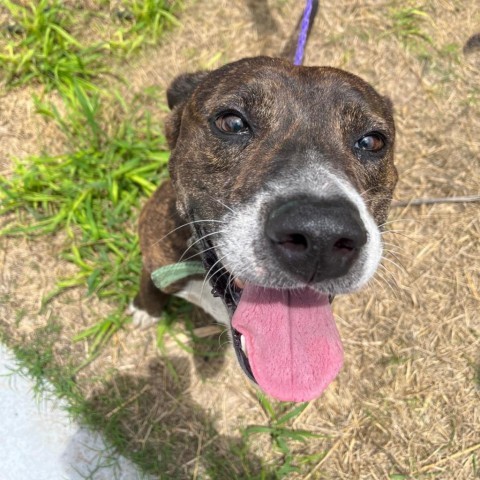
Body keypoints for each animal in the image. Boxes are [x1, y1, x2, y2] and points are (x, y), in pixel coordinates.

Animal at [130, 54, 398, 404]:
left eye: (372, 141)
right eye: (232, 123)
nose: (320, 234)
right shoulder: (154, 258)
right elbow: (149, 289)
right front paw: (144, 310)